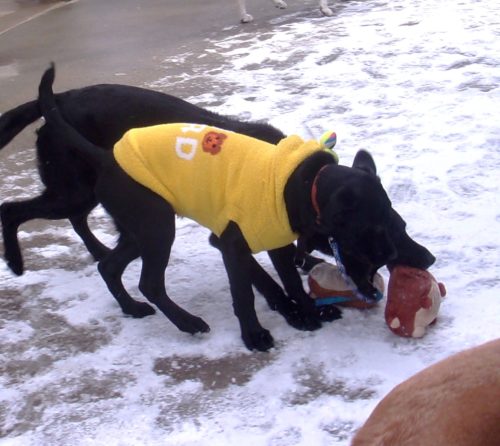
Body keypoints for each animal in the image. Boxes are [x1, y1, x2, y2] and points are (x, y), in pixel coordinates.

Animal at [36, 64, 435, 351]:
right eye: (376, 239)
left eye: (399, 227)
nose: (428, 259)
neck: (297, 183)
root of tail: (106, 158)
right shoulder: (230, 243)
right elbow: (246, 291)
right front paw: (257, 333)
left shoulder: (276, 240)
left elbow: (290, 279)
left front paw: (307, 310)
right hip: (157, 226)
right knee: (149, 282)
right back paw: (187, 322)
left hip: (139, 230)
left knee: (108, 265)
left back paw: (131, 308)